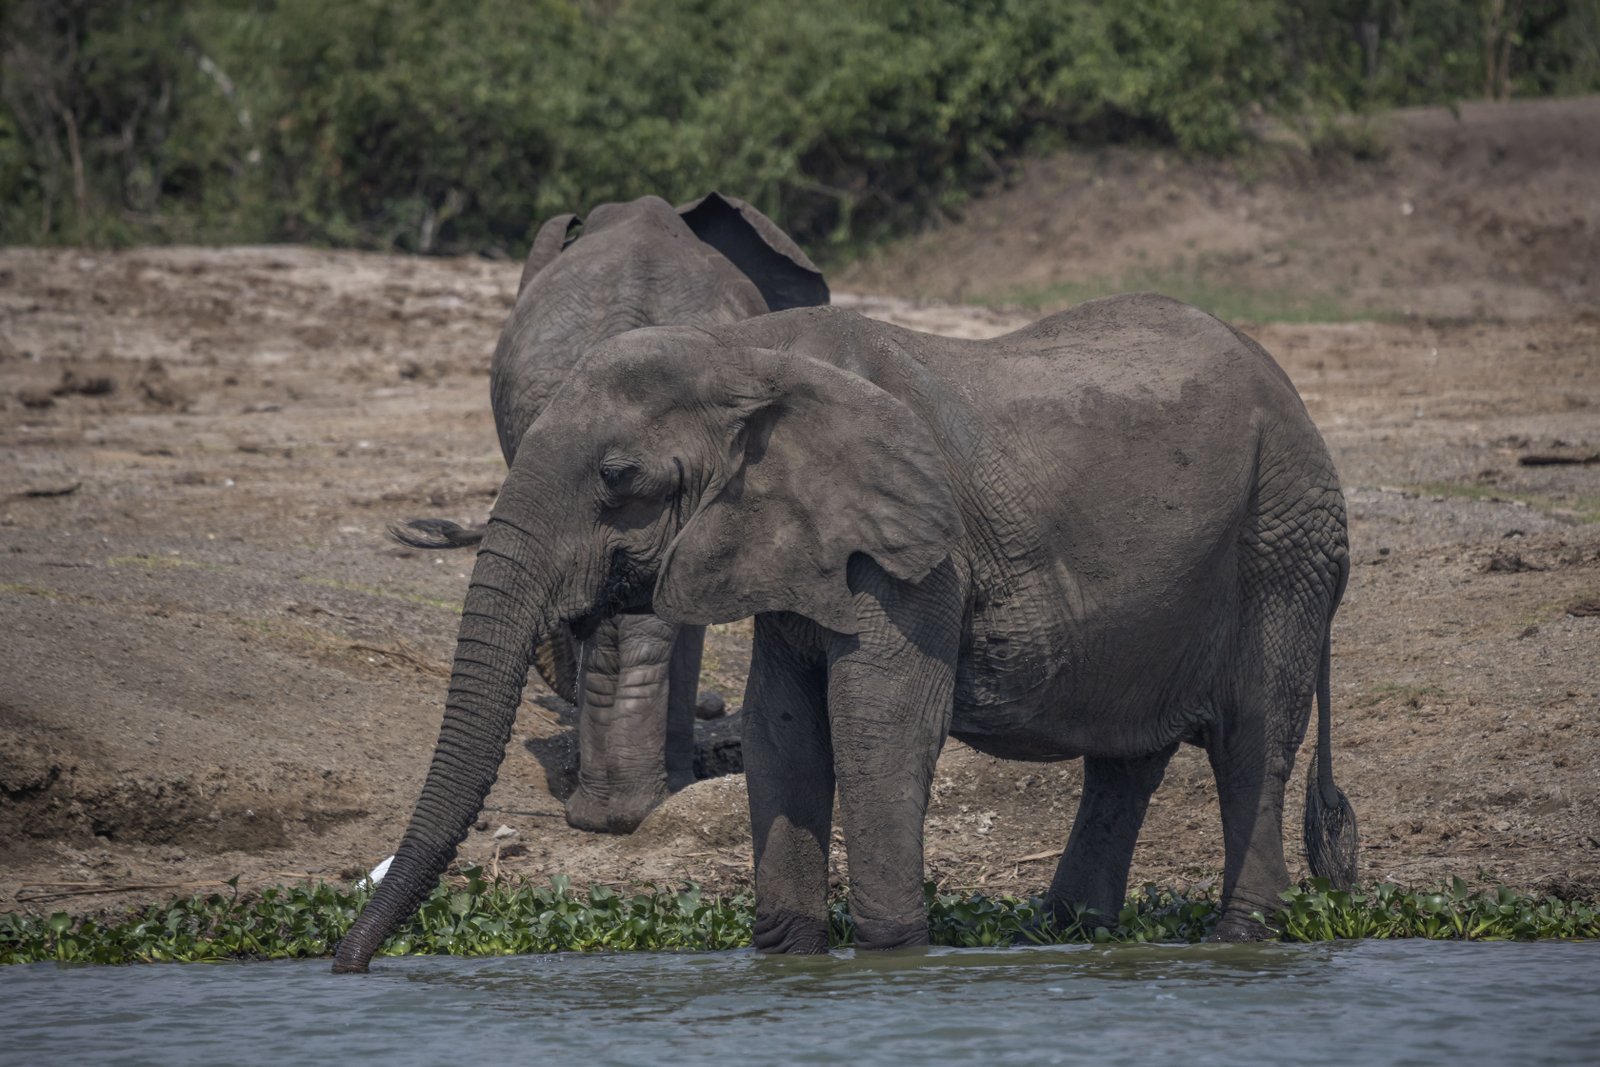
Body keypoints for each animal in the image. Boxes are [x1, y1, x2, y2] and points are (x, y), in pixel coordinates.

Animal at [334, 292, 1358, 972]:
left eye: (618, 479)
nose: (347, 963)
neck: (746, 353)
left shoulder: (911, 556)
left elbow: (880, 727)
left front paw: (892, 958)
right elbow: (784, 728)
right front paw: (791, 959)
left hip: (1285, 539)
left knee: (1254, 740)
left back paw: (1235, 943)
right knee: (1126, 759)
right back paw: (1064, 936)